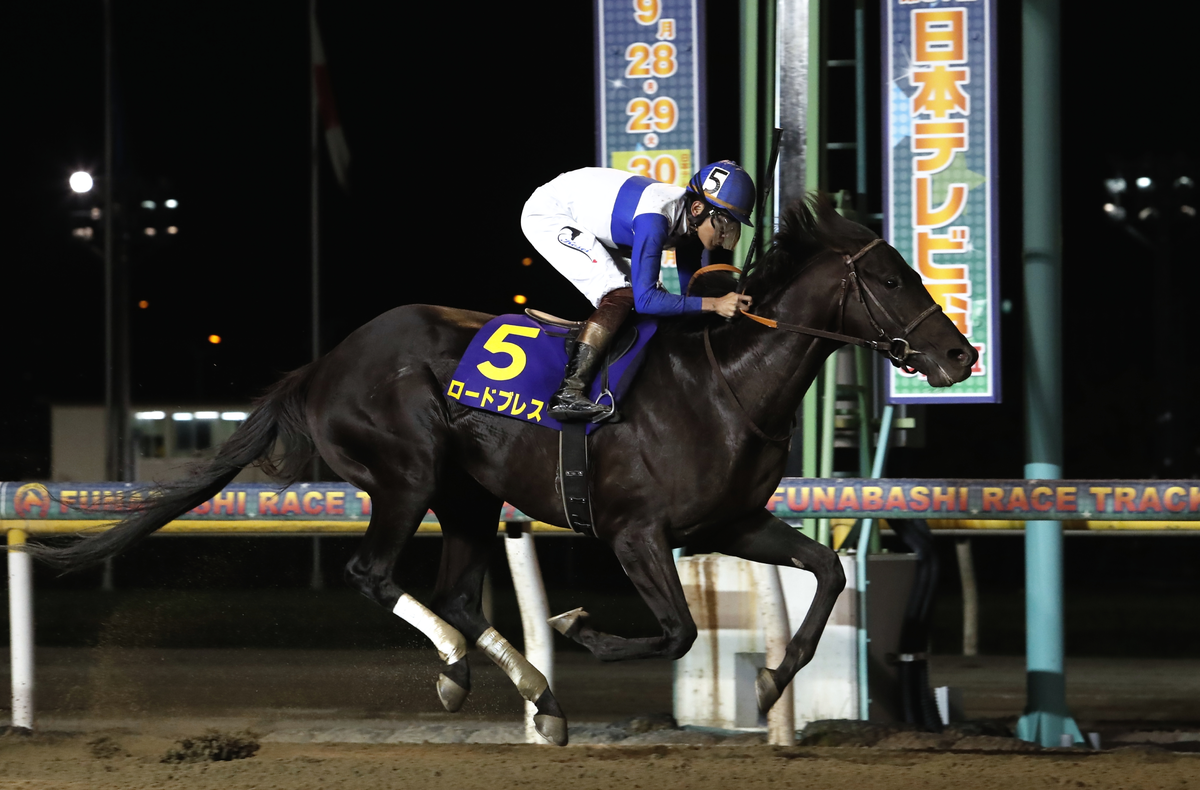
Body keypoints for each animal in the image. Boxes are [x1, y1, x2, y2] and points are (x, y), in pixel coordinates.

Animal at [30, 194, 977, 746]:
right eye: (895, 277)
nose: (961, 355)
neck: (727, 384)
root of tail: (326, 363)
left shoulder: (731, 522)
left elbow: (826, 570)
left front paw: (779, 678)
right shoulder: (636, 532)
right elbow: (676, 629)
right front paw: (578, 628)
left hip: (469, 498)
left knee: (453, 592)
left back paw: (528, 694)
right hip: (407, 473)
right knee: (375, 573)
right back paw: (469, 670)